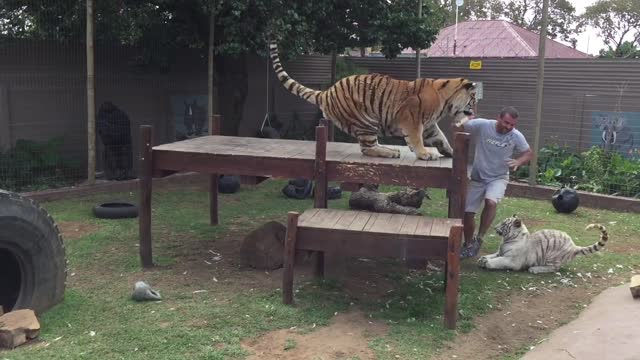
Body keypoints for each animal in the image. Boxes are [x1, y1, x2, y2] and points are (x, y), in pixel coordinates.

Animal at [268, 41, 476, 160]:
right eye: (473, 100)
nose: (475, 112)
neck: (445, 102)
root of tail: (327, 92)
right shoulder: (412, 120)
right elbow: (416, 139)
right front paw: (424, 154)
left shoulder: (430, 124)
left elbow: (441, 138)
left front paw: (450, 152)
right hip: (366, 121)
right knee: (367, 148)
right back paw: (390, 152)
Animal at [478, 214, 608, 272]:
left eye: (504, 224)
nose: (495, 228)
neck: (507, 239)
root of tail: (574, 246)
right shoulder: (499, 252)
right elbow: (491, 255)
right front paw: (482, 259)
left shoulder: (511, 260)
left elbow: (498, 261)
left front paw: (487, 263)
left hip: (551, 256)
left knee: (554, 268)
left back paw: (534, 269)